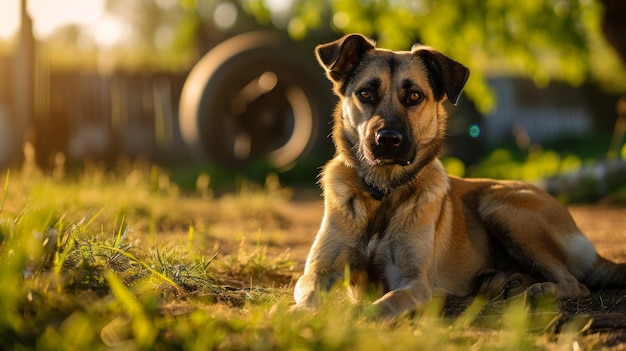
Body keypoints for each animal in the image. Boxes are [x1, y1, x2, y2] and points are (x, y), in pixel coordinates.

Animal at [292, 33, 624, 320]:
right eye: (365, 93)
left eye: (414, 96)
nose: (387, 139)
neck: (383, 192)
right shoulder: (319, 272)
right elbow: (307, 294)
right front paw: (298, 316)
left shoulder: (412, 282)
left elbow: (384, 304)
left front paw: (357, 319)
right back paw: (506, 282)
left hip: (501, 206)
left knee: (576, 283)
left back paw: (539, 289)